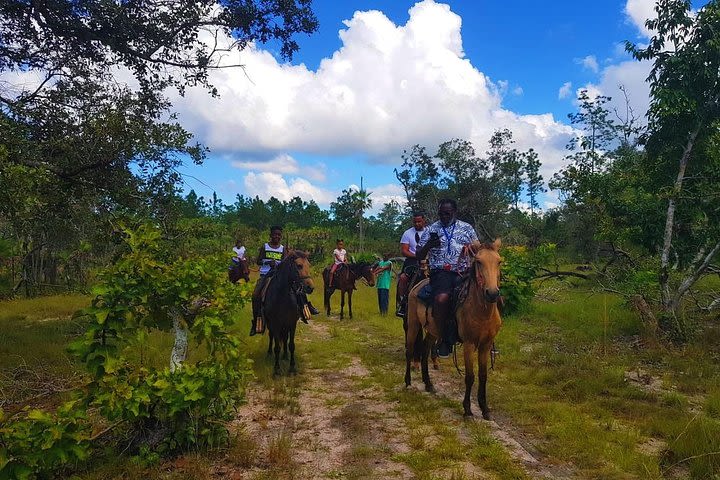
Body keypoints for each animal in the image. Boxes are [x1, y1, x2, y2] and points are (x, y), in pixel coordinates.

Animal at [404, 238, 500, 418]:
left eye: (499, 261)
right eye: (478, 261)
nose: (492, 293)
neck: (481, 311)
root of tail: (418, 284)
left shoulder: (485, 345)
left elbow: (483, 376)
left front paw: (485, 409)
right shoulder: (469, 344)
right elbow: (470, 376)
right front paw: (467, 409)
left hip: (433, 331)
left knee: (425, 350)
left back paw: (428, 384)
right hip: (413, 324)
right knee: (410, 350)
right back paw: (407, 381)